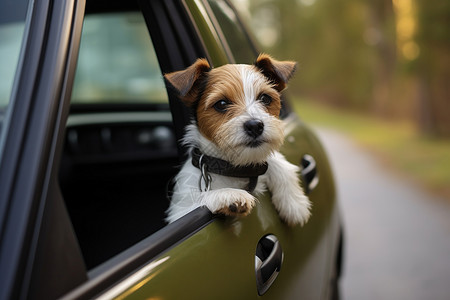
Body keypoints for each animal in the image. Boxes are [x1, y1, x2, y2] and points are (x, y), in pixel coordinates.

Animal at [163, 54, 312, 226]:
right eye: (221, 103)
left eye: (265, 98)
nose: (255, 126)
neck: (234, 168)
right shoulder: (179, 213)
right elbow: (200, 199)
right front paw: (228, 195)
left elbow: (277, 163)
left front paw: (294, 202)